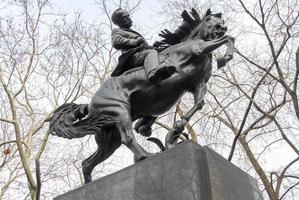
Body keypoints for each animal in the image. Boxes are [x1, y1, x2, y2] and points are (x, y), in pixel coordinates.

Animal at [49, 7, 236, 184]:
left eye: (221, 20)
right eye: (208, 19)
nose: (221, 27)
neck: (189, 43)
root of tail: (90, 105)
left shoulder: (197, 84)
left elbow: (199, 104)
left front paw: (177, 128)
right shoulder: (198, 50)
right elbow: (229, 38)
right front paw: (224, 58)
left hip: (109, 137)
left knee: (87, 163)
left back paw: (89, 185)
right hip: (120, 112)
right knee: (128, 139)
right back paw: (147, 156)